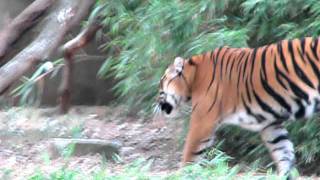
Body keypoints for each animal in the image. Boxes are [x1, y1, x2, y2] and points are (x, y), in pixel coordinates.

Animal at [155, 37, 320, 179]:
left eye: (161, 84)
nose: (156, 103)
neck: (193, 77)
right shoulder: (271, 125)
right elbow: (283, 152)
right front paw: (286, 175)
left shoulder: (202, 121)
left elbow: (189, 154)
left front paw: (182, 174)